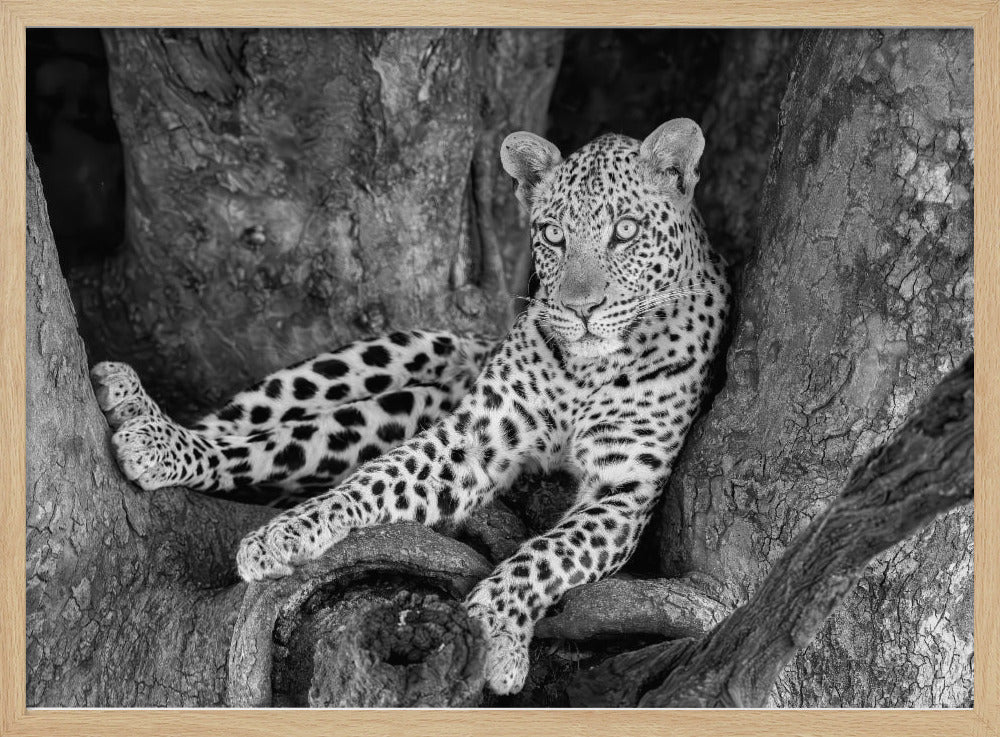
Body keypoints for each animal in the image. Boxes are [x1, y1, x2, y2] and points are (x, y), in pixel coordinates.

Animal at [91, 118, 729, 695]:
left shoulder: (626, 487)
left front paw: (492, 632)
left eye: (626, 231)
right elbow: (374, 480)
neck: (587, 369)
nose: (579, 309)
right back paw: (144, 421)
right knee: (242, 432)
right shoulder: (472, 437)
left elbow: (549, 553)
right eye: (552, 234)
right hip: (381, 362)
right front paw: (287, 533)